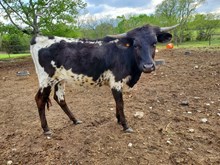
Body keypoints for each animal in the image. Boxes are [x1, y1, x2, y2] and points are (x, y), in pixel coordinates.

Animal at [30, 23, 178, 134]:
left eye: (154, 43)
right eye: (136, 45)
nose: (148, 66)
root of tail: (38, 39)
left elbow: (118, 103)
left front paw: (119, 120)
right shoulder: (116, 81)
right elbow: (120, 103)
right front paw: (125, 125)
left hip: (60, 80)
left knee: (60, 98)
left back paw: (75, 120)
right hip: (46, 80)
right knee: (40, 99)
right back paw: (46, 129)